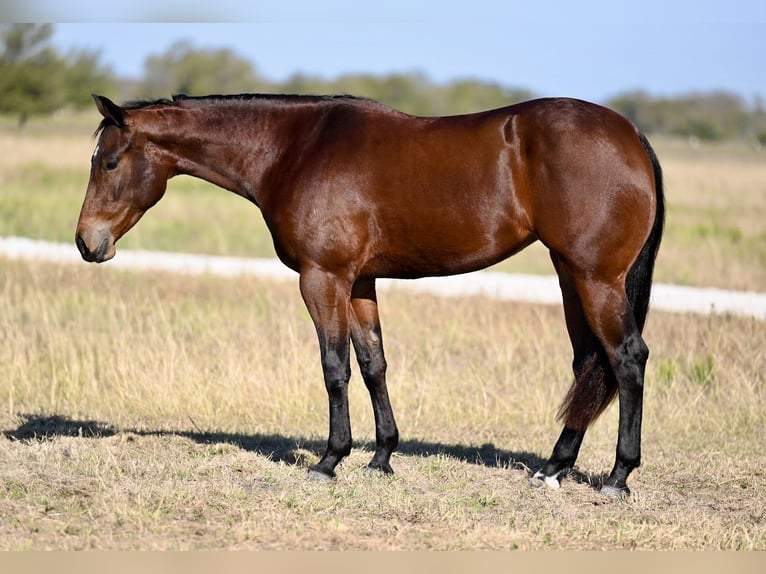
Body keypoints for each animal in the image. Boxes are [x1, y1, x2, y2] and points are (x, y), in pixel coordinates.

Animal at [76, 92, 664, 498]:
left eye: (109, 162)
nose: (86, 242)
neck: (292, 150)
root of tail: (631, 132)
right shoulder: (359, 283)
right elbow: (372, 363)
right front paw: (381, 457)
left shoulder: (322, 278)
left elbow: (334, 366)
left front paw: (329, 460)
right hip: (571, 276)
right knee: (589, 362)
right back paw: (553, 468)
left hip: (595, 279)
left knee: (627, 358)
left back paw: (617, 476)